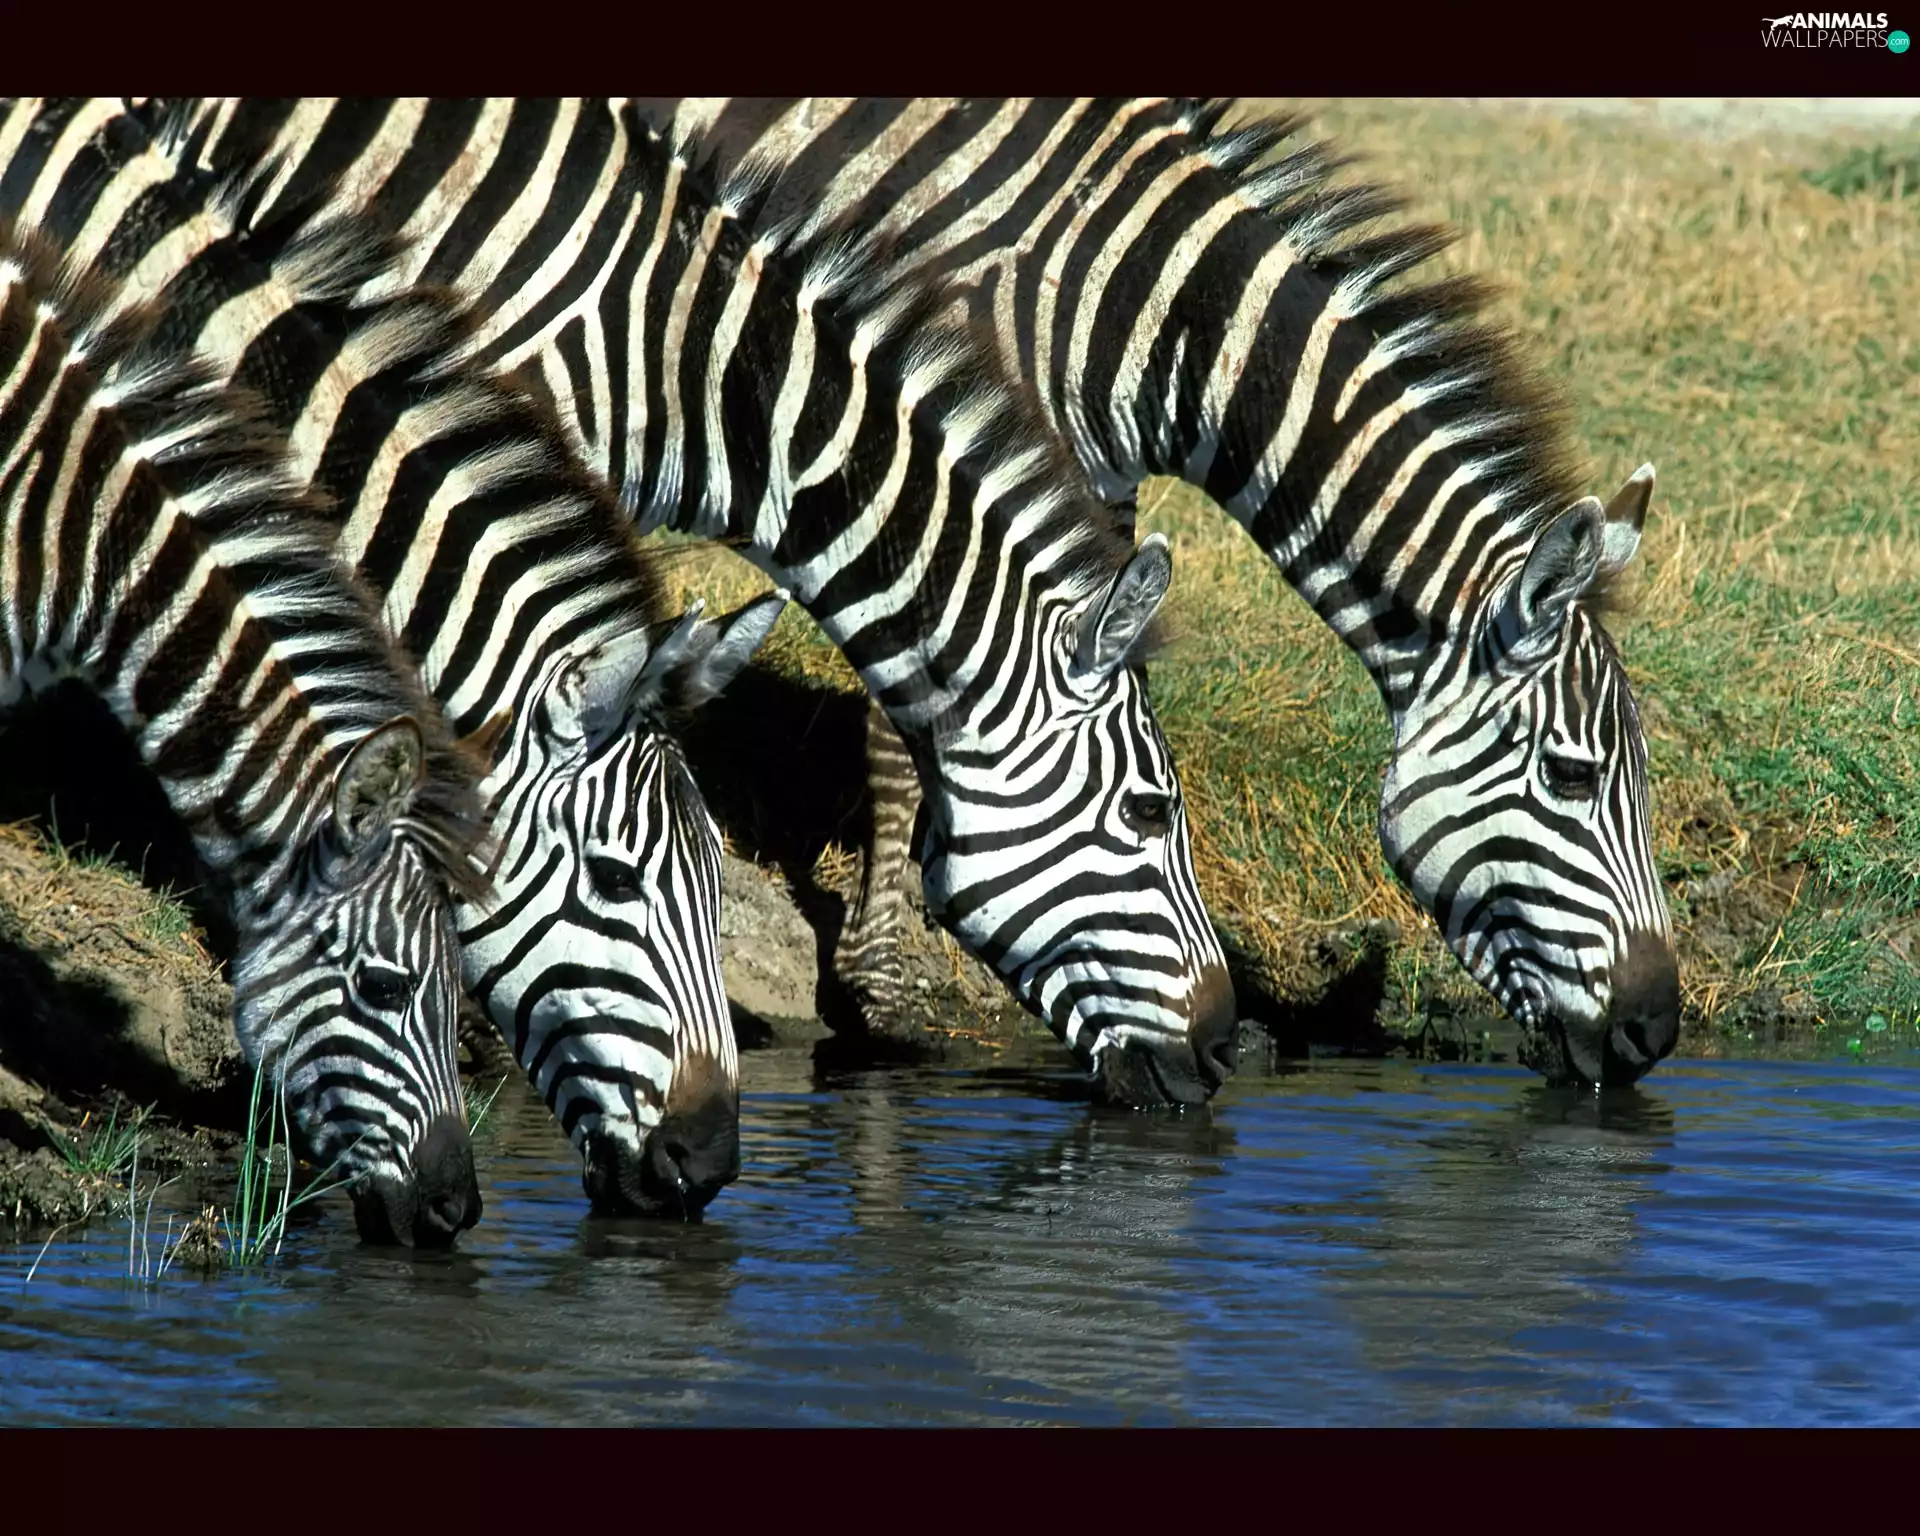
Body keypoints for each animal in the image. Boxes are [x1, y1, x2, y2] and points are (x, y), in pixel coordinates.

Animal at [630, 97, 1680, 1088]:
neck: (1137, 304)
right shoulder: (916, 443)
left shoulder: (1085, 482)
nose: (1656, 1032)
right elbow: (905, 724)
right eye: (1573, 777)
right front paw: (882, 980)